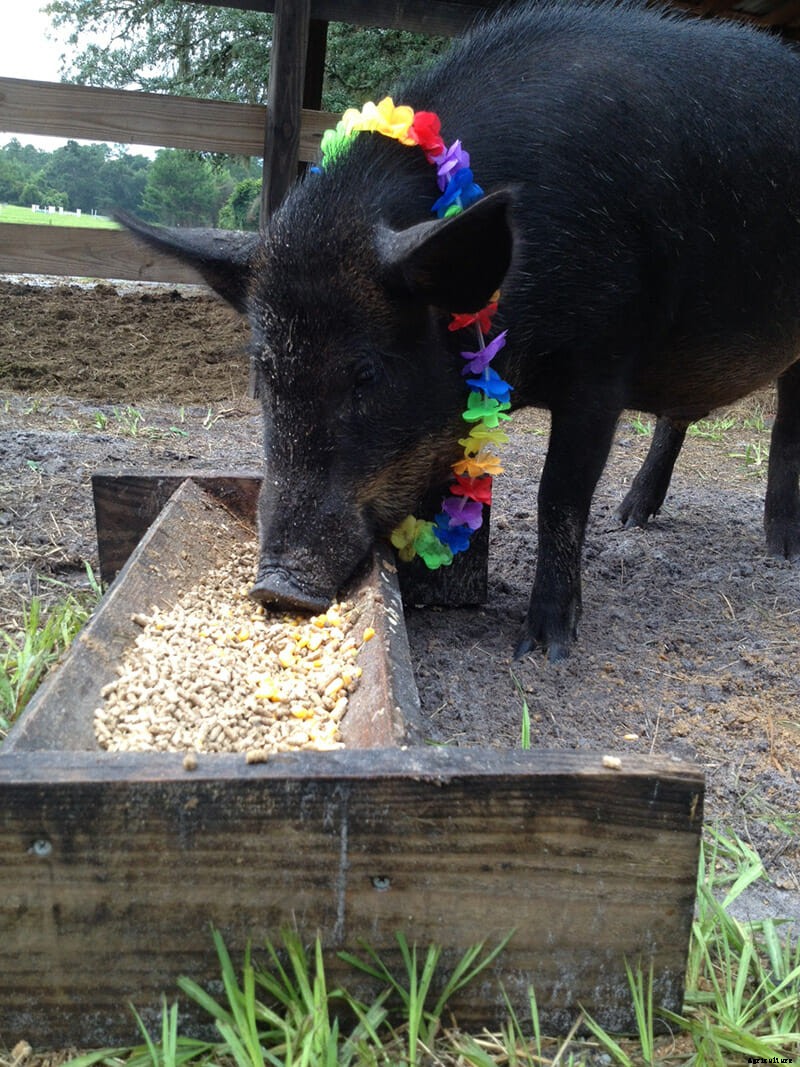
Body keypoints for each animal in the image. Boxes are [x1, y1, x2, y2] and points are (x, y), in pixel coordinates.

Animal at [117, 0, 800, 661]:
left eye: (367, 373)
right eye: (264, 369)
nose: (276, 587)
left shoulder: (602, 362)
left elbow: (559, 494)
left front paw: (543, 648)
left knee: (783, 430)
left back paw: (780, 551)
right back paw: (631, 518)